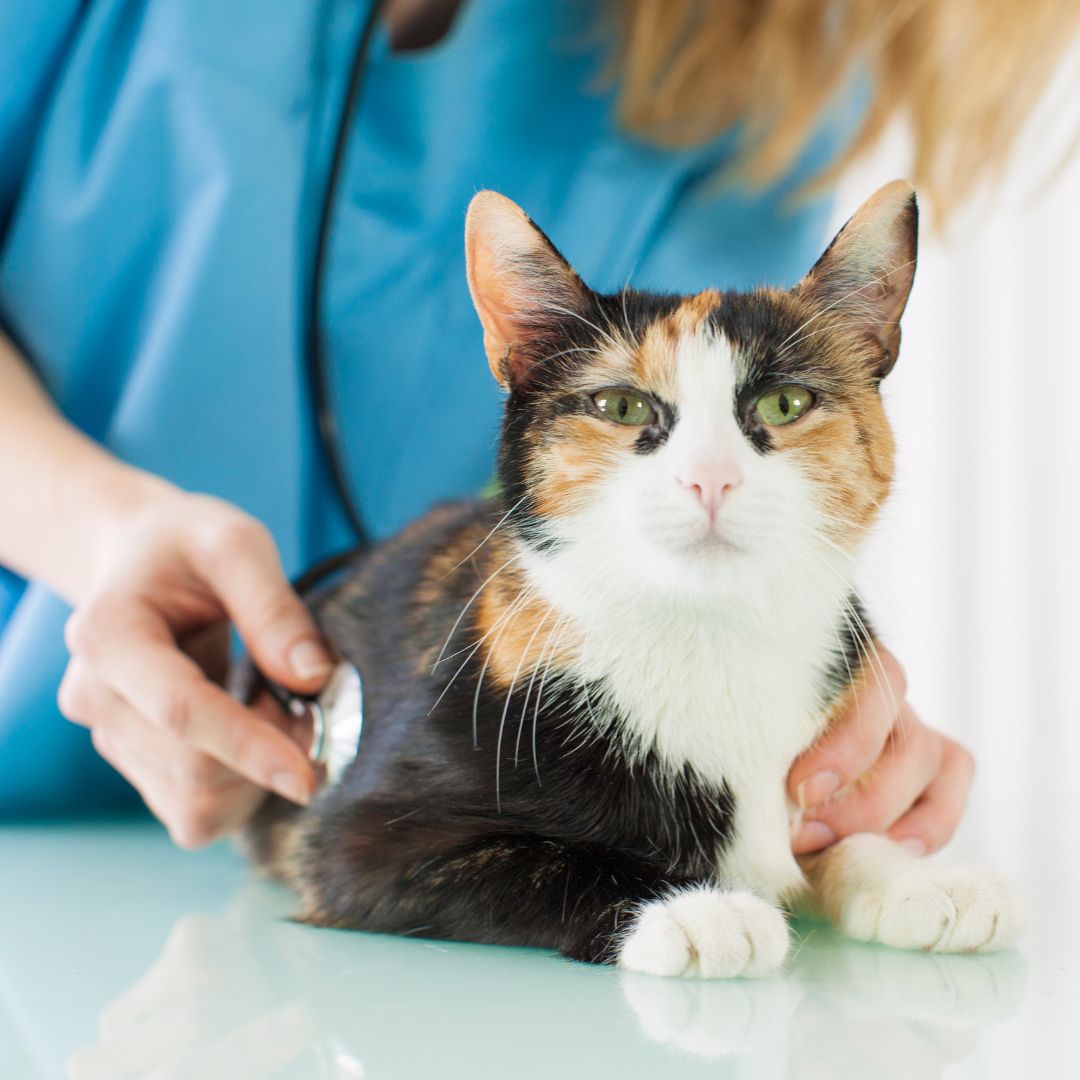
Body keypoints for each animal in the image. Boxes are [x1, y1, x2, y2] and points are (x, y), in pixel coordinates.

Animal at [245, 179, 1019, 980]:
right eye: (620, 406)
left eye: (785, 403)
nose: (710, 478)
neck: (708, 638)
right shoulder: (355, 841)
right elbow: (547, 860)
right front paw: (693, 908)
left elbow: (840, 833)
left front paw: (916, 877)